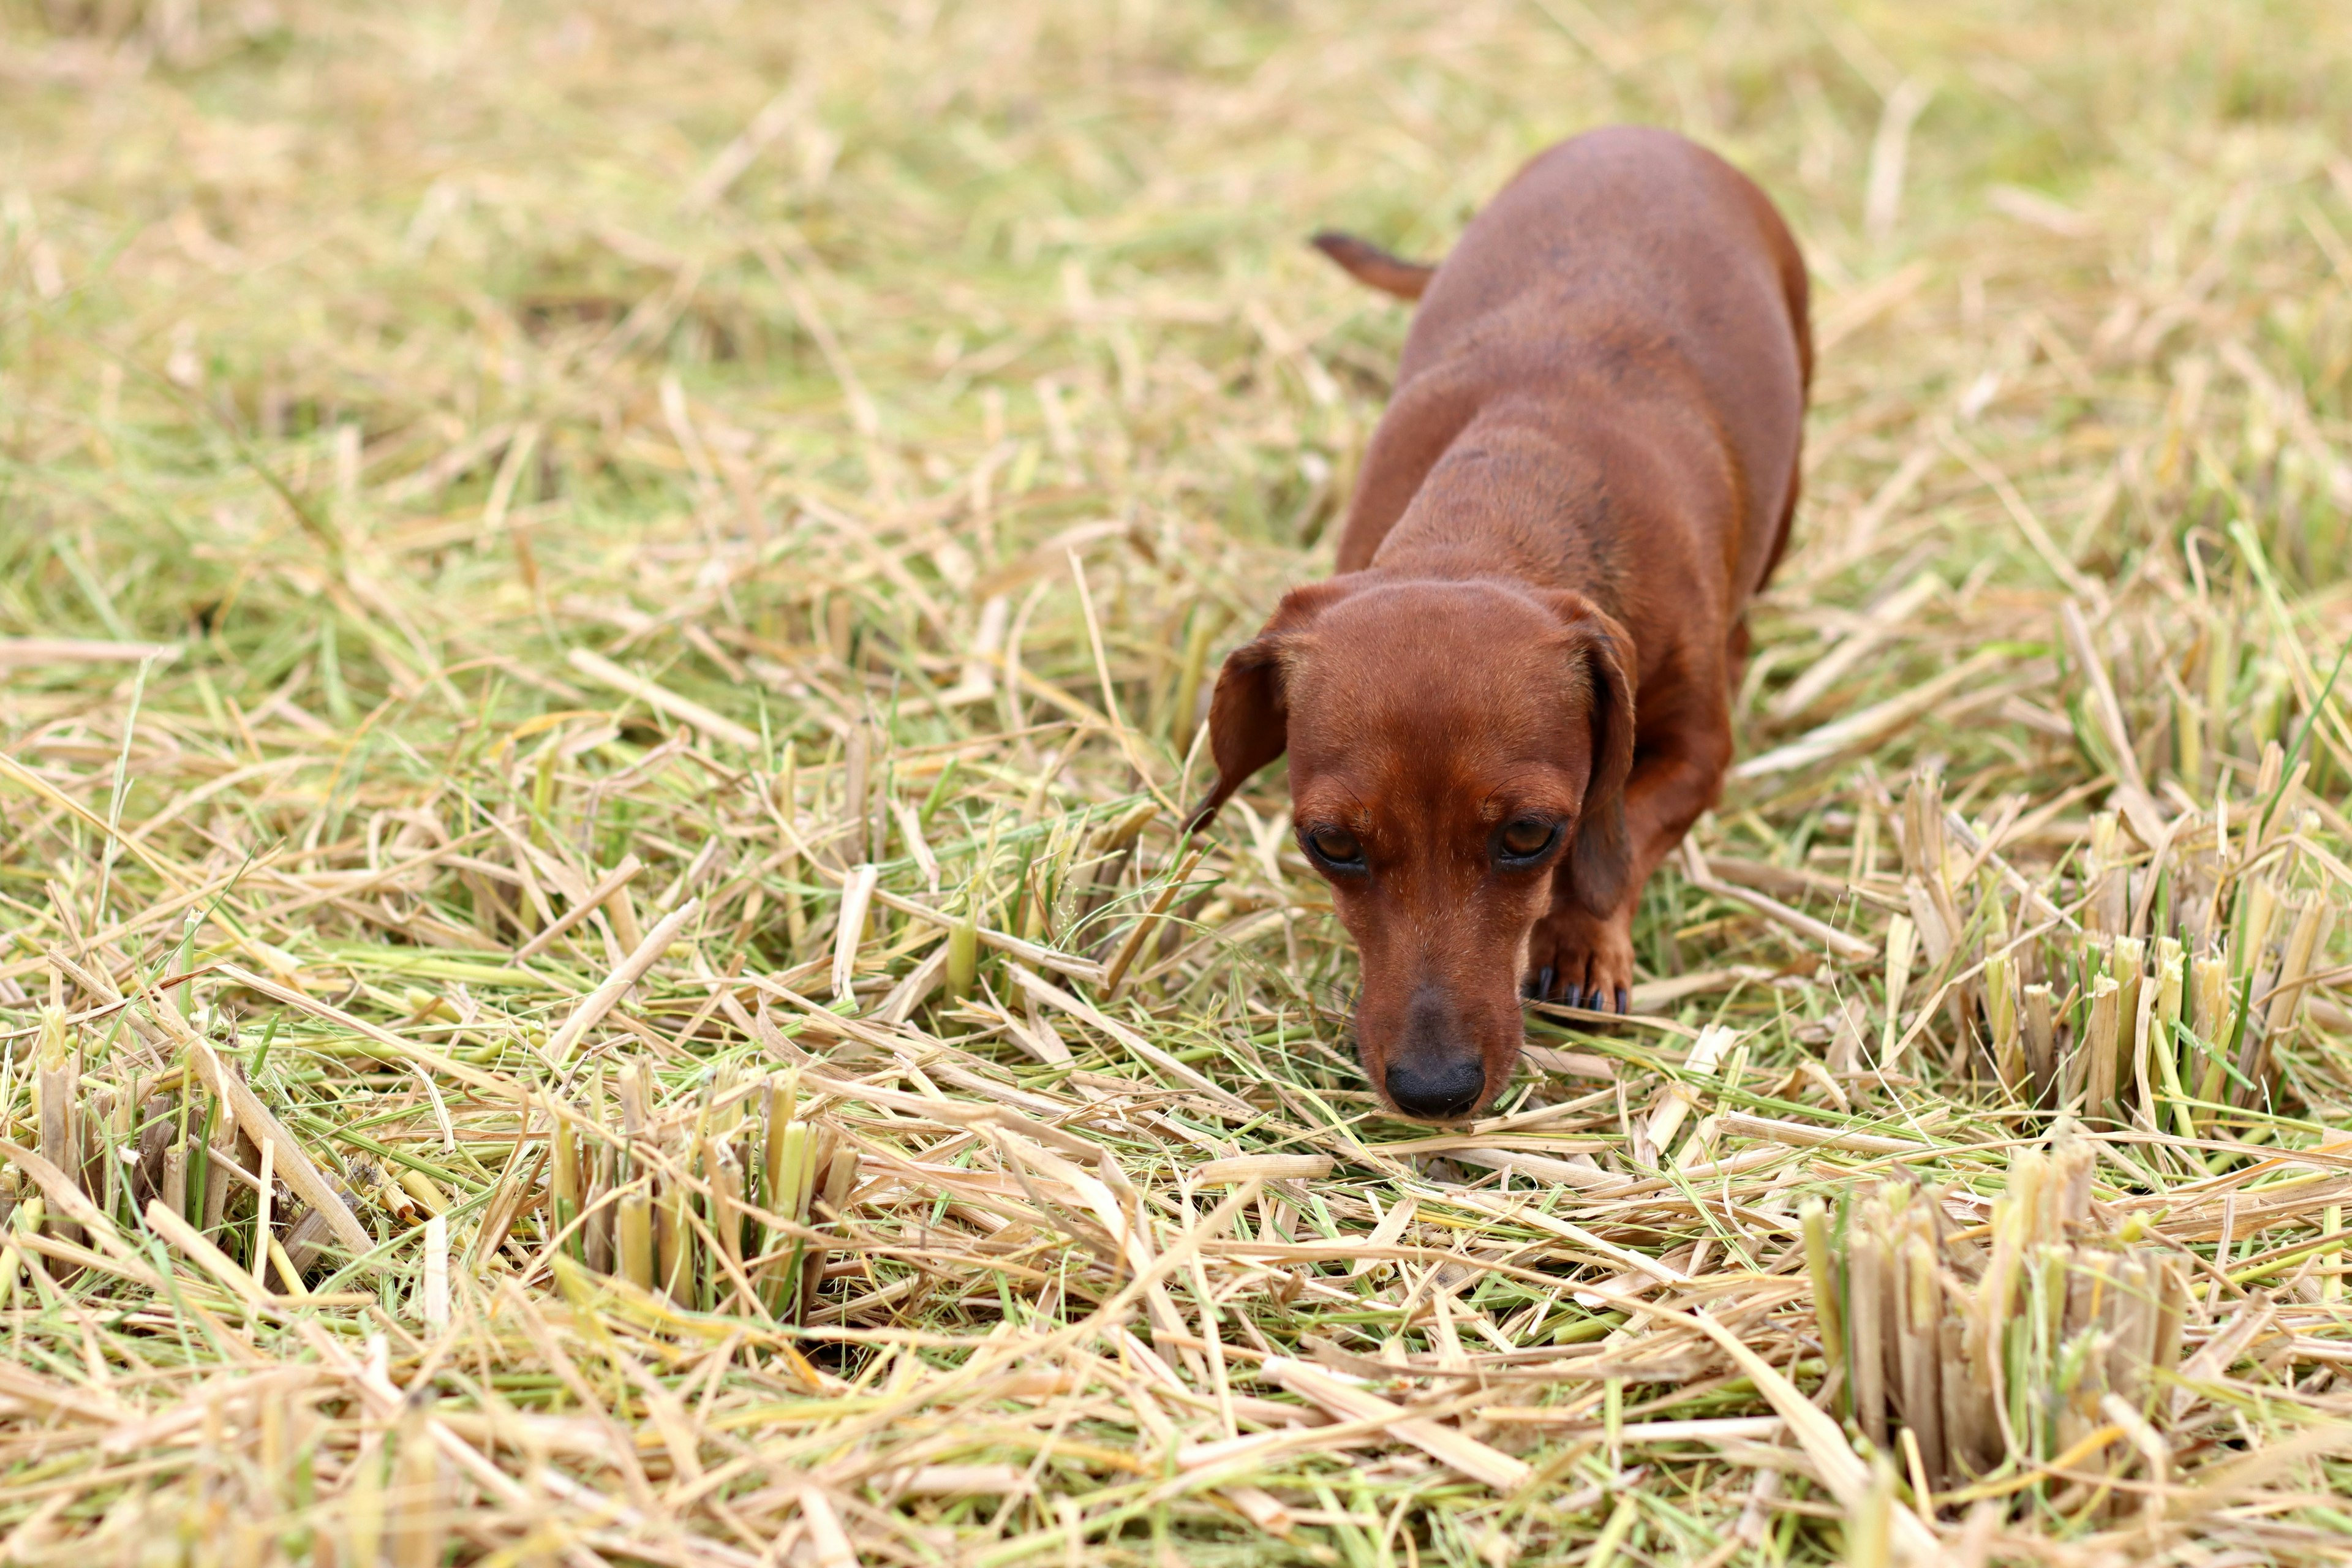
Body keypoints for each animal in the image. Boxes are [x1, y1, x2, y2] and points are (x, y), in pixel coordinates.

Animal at [1185, 129, 1806, 1123]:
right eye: (1332, 845)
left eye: (1528, 836)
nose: (1433, 1090)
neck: (1504, 497)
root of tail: (1639, 134)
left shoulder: (1700, 753)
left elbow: (1615, 838)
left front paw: (1582, 942)